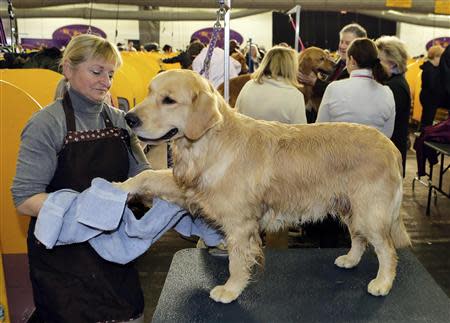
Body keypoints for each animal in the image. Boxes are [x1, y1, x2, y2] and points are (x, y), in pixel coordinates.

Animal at [117, 69, 412, 306]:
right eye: (149, 92)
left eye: (168, 100)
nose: (129, 118)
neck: (209, 142)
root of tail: (391, 147)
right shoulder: (189, 184)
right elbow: (149, 175)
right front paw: (120, 187)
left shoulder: (240, 223)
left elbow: (237, 261)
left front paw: (230, 290)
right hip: (351, 208)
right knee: (359, 238)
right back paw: (350, 260)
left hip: (369, 212)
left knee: (388, 250)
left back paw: (382, 283)